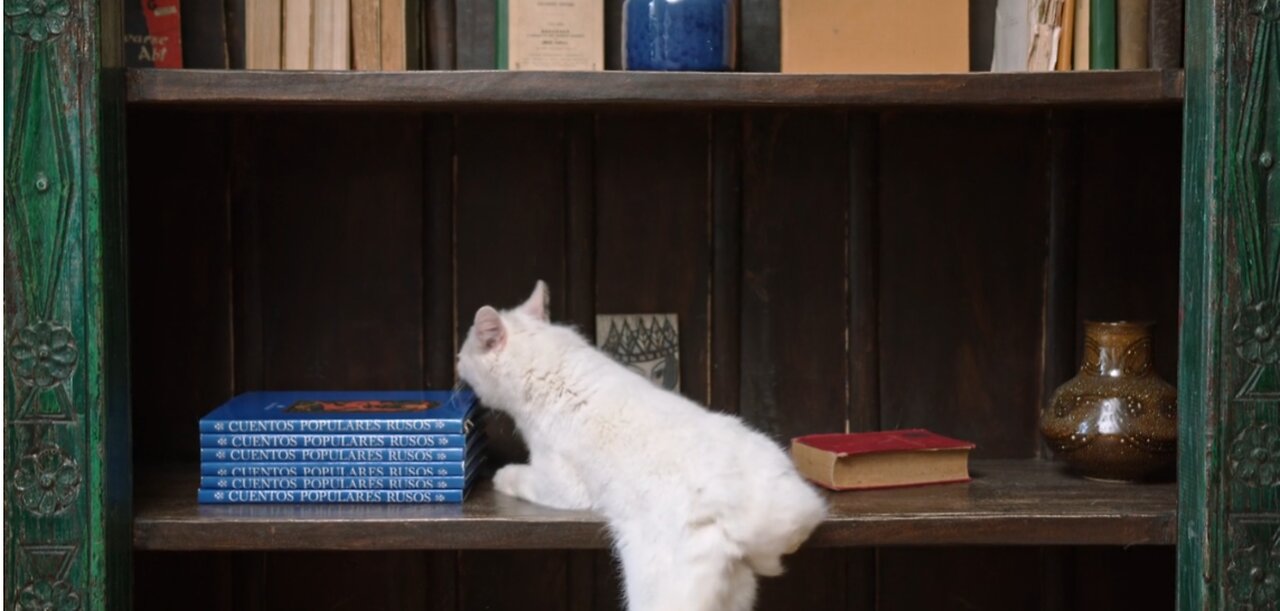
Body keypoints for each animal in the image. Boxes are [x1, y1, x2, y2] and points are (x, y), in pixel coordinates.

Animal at [455, 280, 824, 609]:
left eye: (463, 353)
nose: (456, 361)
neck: (551, 368)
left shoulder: (562, 486)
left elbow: (521, 477)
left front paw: (502, 475)